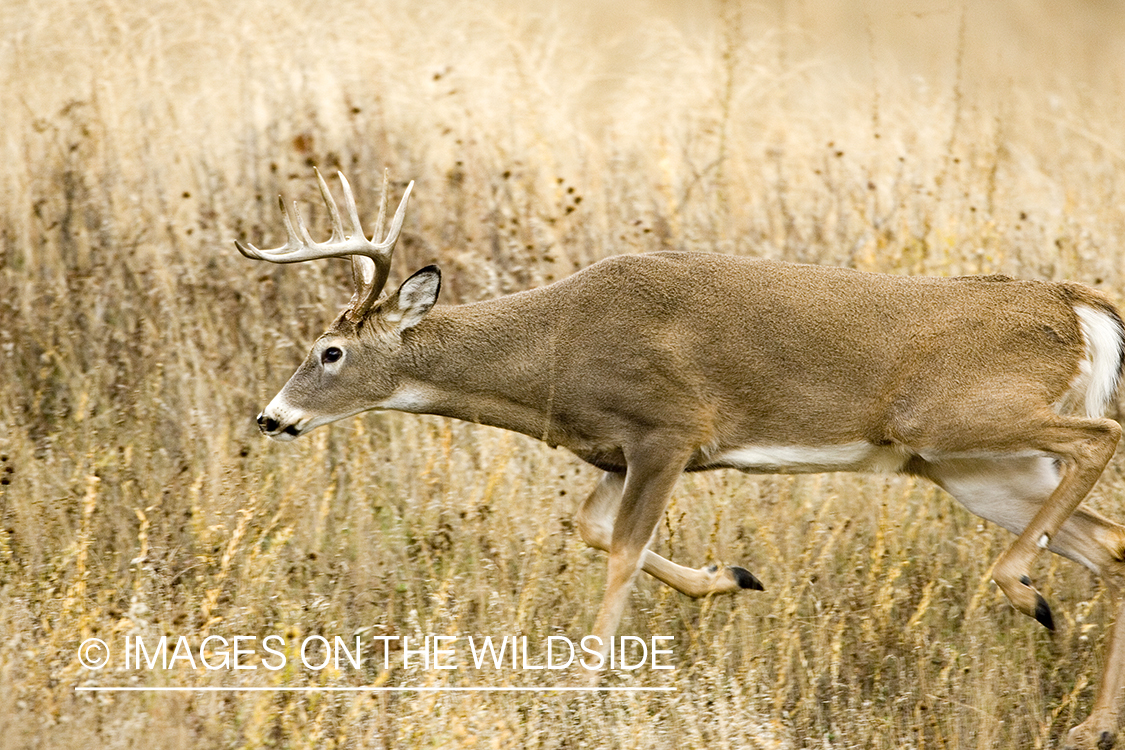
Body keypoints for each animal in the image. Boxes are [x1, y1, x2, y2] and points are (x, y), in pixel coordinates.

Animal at [239, 172, 1125, 750]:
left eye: (329, 351)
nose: (270, 416)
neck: (556, 353)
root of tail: (1077, 305)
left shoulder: (668, 429)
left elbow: (621, 551)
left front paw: (579, 688)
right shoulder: (614, 450)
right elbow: (592, 529)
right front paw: (731, 578)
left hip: (959, 417)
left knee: (1100, 439)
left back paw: (1025, 592)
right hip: (970, 466)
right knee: (1109, 541)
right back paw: (1088, 718)